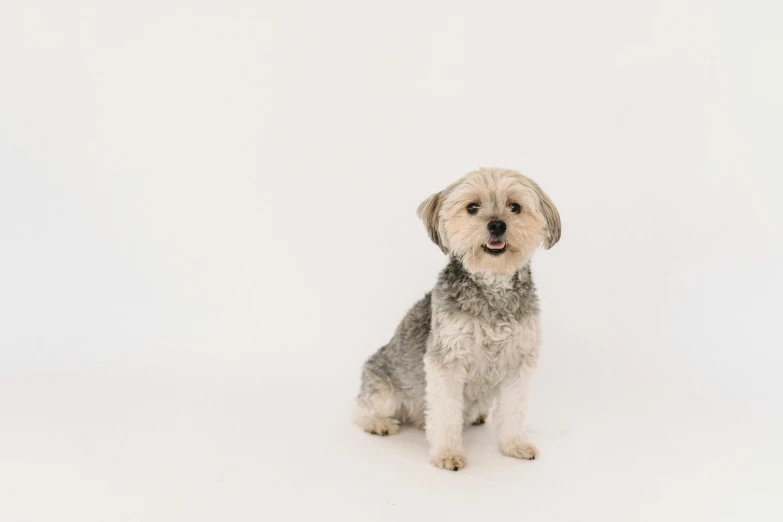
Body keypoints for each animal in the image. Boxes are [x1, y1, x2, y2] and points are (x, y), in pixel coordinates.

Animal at [352, 167, 560, 468]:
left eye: (515, 207)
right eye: (472, 207)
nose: (497, 225)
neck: (493, 286)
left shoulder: (519, 362)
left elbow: (513, 410)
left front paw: (515, 445)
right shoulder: (447, 361)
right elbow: (446, 413)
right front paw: (447, 453)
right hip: (384, 389)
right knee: (361, 409)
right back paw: (378, 423)